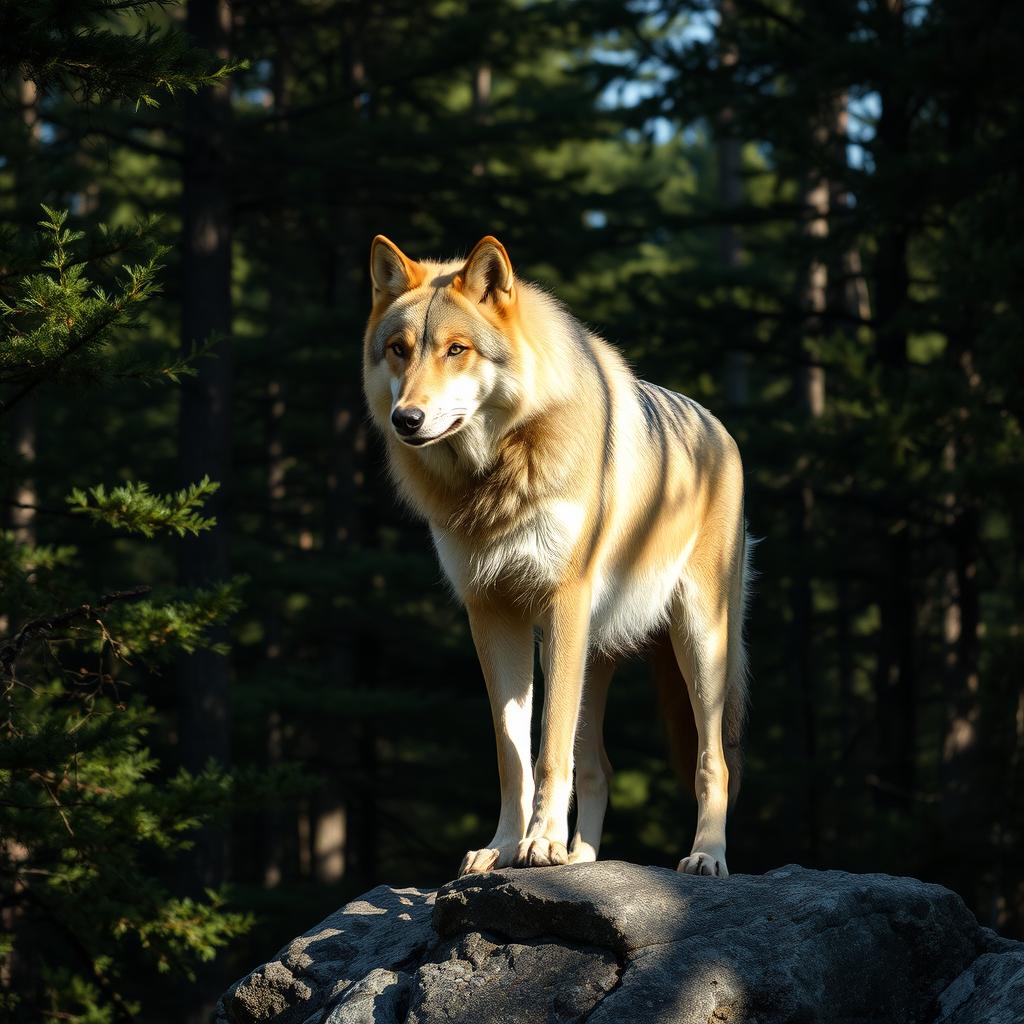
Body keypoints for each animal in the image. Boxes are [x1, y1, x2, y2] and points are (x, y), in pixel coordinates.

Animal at [364, 234, 749, 880]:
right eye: (399, 350)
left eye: (456, 350)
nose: (406, 419)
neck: (495, 476)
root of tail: (719, 428)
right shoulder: (492, 612)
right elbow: (513, 753)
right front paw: (503, 847)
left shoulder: (562, 601)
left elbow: (548, 750)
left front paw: (539, 843)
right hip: (592, 653)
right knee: (598, 769)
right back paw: (580, 860)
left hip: (698, 641)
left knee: (711, 761)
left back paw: (705, 856)